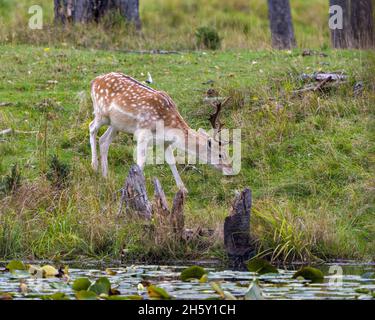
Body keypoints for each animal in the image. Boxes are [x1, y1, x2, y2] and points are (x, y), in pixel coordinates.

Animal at [89, 71, 234, 191]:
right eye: (220, 154)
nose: (230, 170)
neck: (167, 126)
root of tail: (94, 81)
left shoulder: (165, 142)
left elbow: (171, 161)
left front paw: (183, 189)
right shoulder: (142, 134)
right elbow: (140, 163)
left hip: (116, 124)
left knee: (103, 140)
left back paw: (105, 175)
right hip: (101, 113)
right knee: (91, 127)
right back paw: (94, 166)